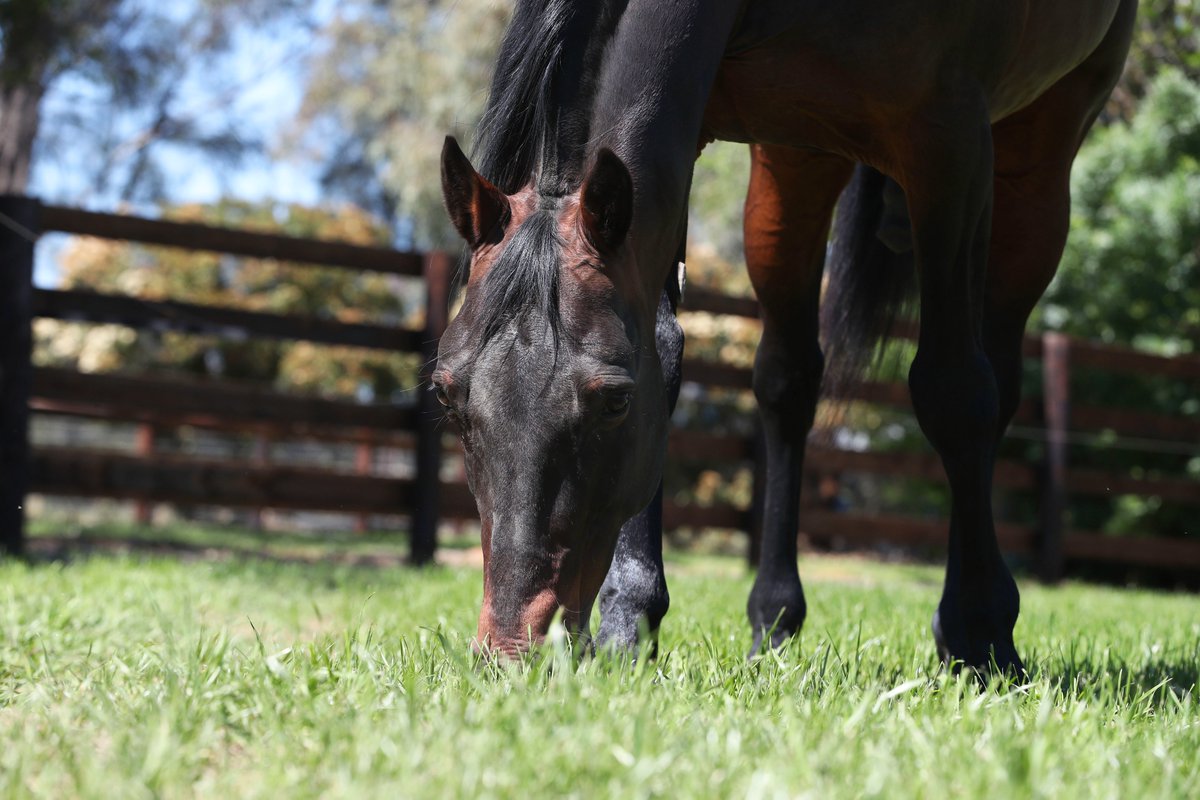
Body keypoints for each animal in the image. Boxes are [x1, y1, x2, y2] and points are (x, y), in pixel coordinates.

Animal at [434, 0, 1137, 669]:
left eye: (615, 400)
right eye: (446, 394)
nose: (511, 650)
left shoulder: (951, 141)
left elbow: (954, 390)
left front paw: (981, 632)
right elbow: (666, 348)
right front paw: (628, 625)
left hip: (1040, 159)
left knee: (997, 379)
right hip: (793, 168)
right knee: (789, 382)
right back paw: (772, 622)